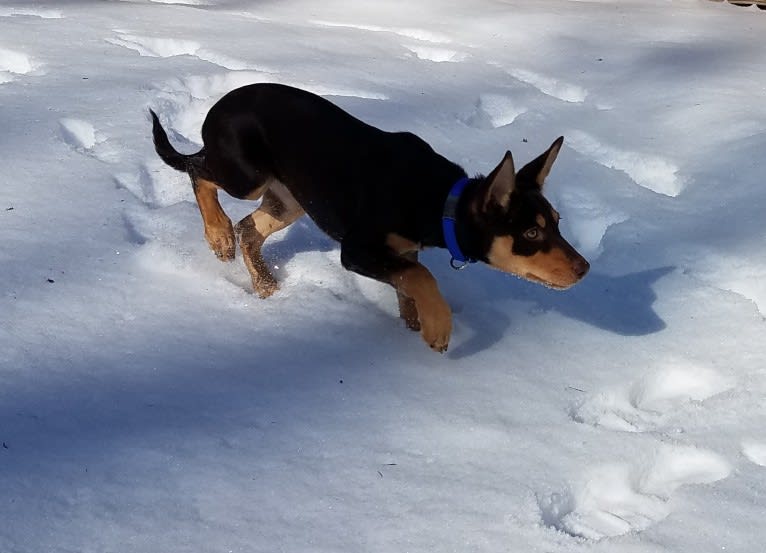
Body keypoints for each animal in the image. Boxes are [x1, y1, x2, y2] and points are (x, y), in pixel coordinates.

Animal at [153, 84, 592, 352]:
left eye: (557, 221)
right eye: (531, 232)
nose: (584, 269)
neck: (438, 201)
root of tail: (219, 105)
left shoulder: (403, 250)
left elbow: (409, 283)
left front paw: (416, 324)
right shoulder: (357, 250)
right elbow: (422, 277)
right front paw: (438, 328)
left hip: (290, 198)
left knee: (249, 227)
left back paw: (264, 284)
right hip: (247, 174)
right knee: (198, 172)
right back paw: (218, 234)